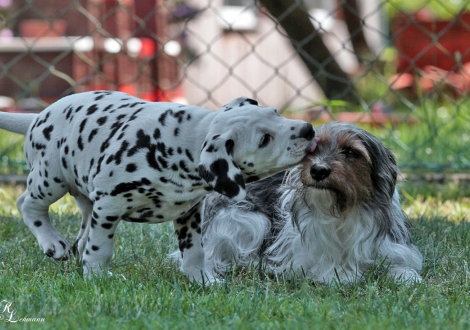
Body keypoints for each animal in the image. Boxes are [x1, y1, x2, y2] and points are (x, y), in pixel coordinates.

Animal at [1, 91, 316, 284]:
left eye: (276, 112)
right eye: (264, 140)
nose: (309, 129)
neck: (182, 142)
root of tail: (37, 116)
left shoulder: (189, 214)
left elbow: (195, 252)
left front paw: (202, 279)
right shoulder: (110, 204)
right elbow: (101, 249)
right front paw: (98, 277)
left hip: (86, 197)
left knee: (83, 233)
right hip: (51, 178)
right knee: (27, 204)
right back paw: (52, 242)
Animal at [198, 122, 422, 282]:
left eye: (351, 152)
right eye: (313, 150)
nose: (318, 170)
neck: (343, 210)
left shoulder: (394, 249)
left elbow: (402, 268)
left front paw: (404, 275)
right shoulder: (300, 256)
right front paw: (343, 275)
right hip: (247, 220)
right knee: (211, 255)